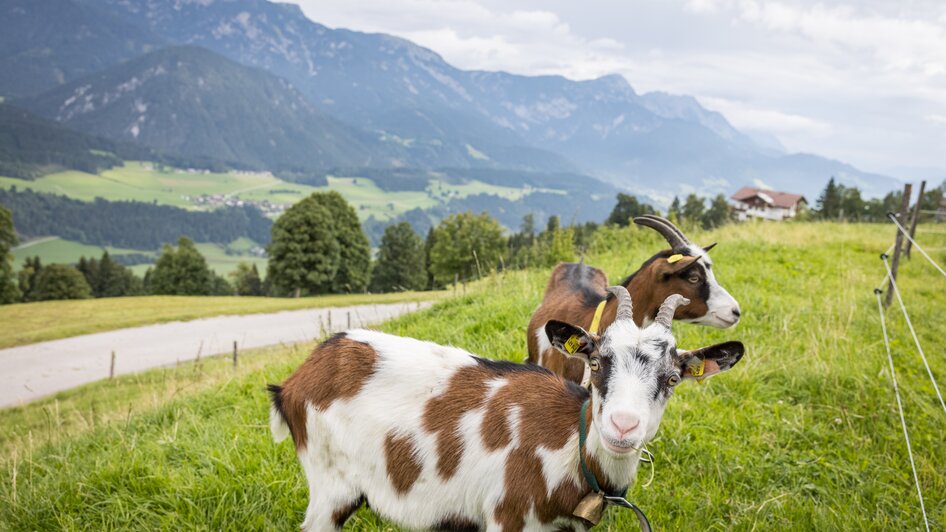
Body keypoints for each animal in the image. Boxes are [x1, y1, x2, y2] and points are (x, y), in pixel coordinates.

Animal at [270, 288, 740, 528]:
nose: (623, 427)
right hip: (330, 485)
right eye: (596, 362)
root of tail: (297, 379)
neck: (569, 444)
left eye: (673, 378)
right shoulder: (505, 516)